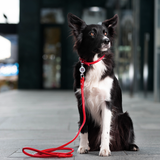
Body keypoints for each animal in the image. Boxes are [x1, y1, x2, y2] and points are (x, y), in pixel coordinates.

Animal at [67, 12, 138, 156]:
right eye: (92, 33)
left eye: (105, 33)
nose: (106, 41)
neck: (93, 61)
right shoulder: (81, 102)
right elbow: (83, 128)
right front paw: (83, 147)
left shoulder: (107, 102)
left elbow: (105, 129)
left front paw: (104, 149)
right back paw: (90, 147)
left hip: (125, 117)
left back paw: (130, 146)